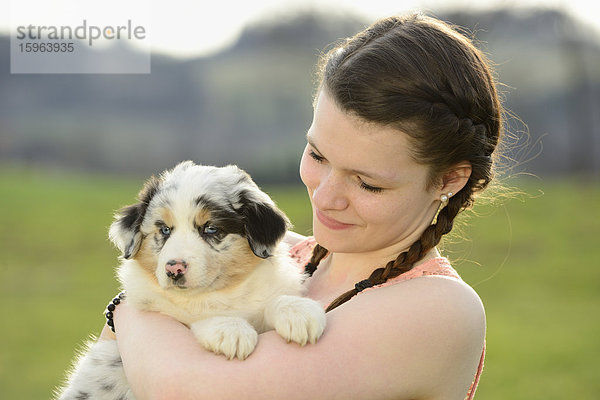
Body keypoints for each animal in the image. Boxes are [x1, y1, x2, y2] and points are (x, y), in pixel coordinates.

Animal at [55, 161, 326, 400]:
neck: (226, 292)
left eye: (211, 229)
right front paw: (231, 331)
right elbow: (197, 316)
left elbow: (274, 300)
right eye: (164, 230)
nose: (173, 268)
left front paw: (299, 313)